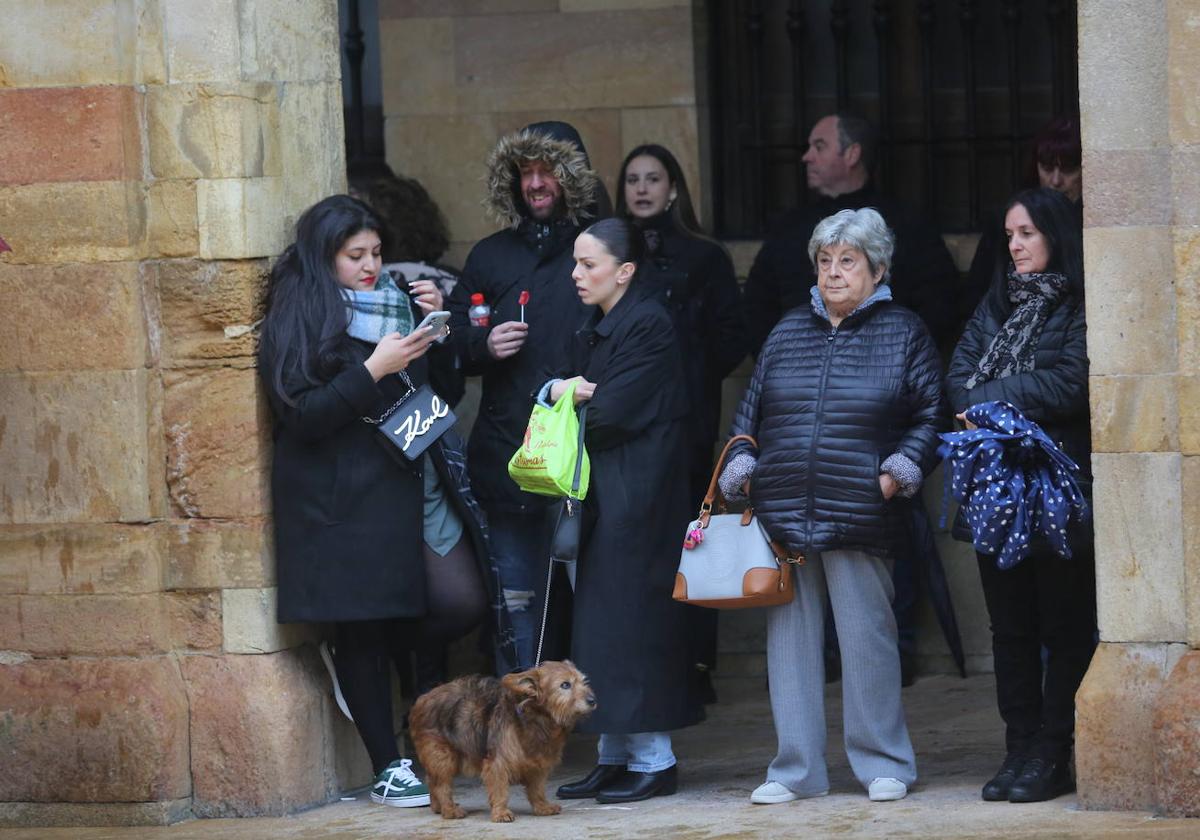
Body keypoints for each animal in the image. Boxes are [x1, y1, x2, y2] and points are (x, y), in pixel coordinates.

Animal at [410, 662, 597, 820]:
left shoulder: (537, 764)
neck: (535, 718)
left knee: (431, 780)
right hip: (442, 756)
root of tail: (422, 699)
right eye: (565, 685)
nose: (593, 700)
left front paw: (542, 807)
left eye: (584, 681)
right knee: (441, 785)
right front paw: (500, 812)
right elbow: (500, 789)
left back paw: (437, 807)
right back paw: (449, 810)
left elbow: (537, 789)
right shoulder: (497, 763)